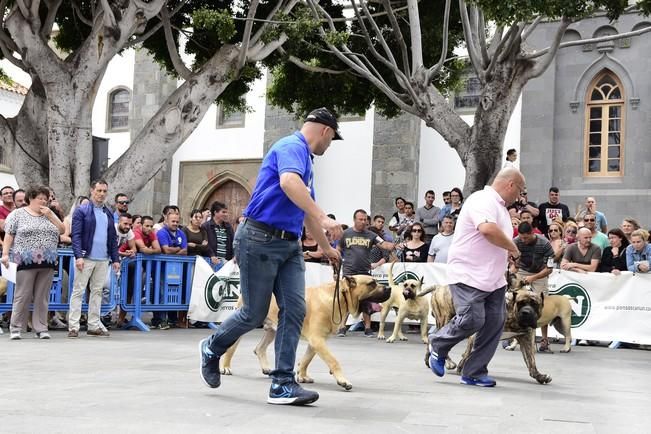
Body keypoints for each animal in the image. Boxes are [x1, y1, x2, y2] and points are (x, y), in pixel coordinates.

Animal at [222, 276, 390, 392]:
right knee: (230, 347)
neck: (339, 298)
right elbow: (333, 361)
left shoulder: (316, 341)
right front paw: (343, 380)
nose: (388, 287)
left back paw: (266, 368)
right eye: (372, 284)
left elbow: (306, 359)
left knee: (259, 348)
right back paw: (225, 367)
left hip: (273, 329)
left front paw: (302, 375)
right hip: (248, 322)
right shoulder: (317, 340)